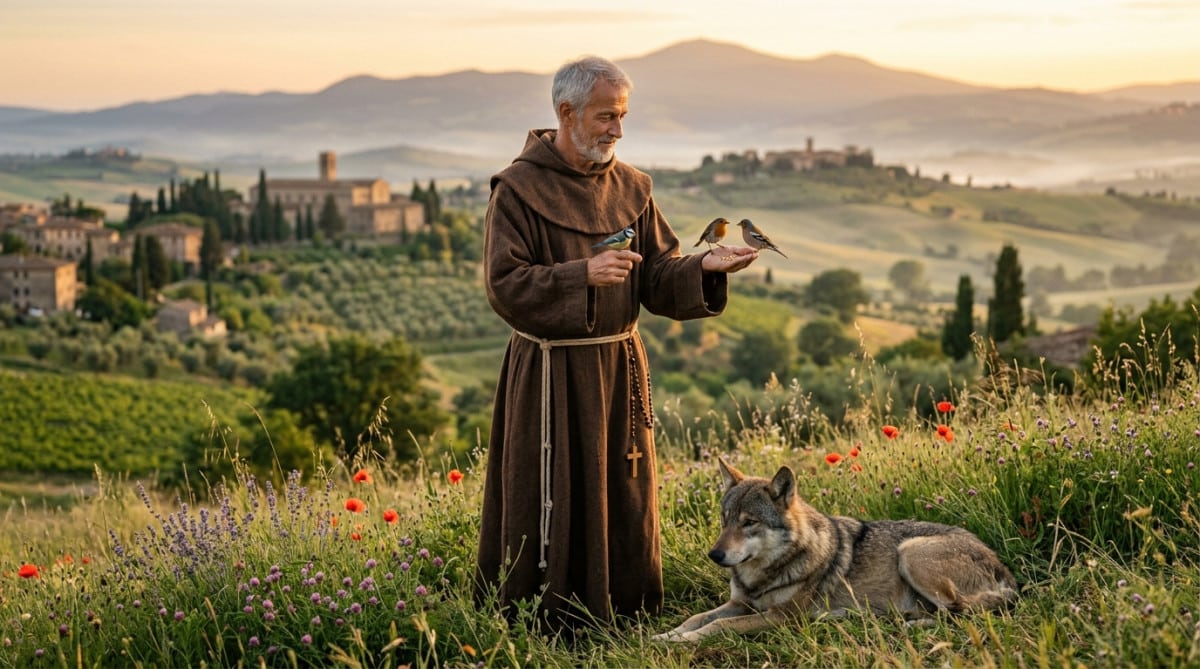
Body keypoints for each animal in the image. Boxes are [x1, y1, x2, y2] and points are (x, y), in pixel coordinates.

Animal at [653, 457, 1018, 642]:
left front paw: (683, 641)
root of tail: (1006, 573)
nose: (714, 555)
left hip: (910, 552)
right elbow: (697, 617)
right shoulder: (739, 603)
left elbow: (718, 627)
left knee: (960, 614)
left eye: (749, 522)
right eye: (725, 519)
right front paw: (667, 635)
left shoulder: (782, 617)